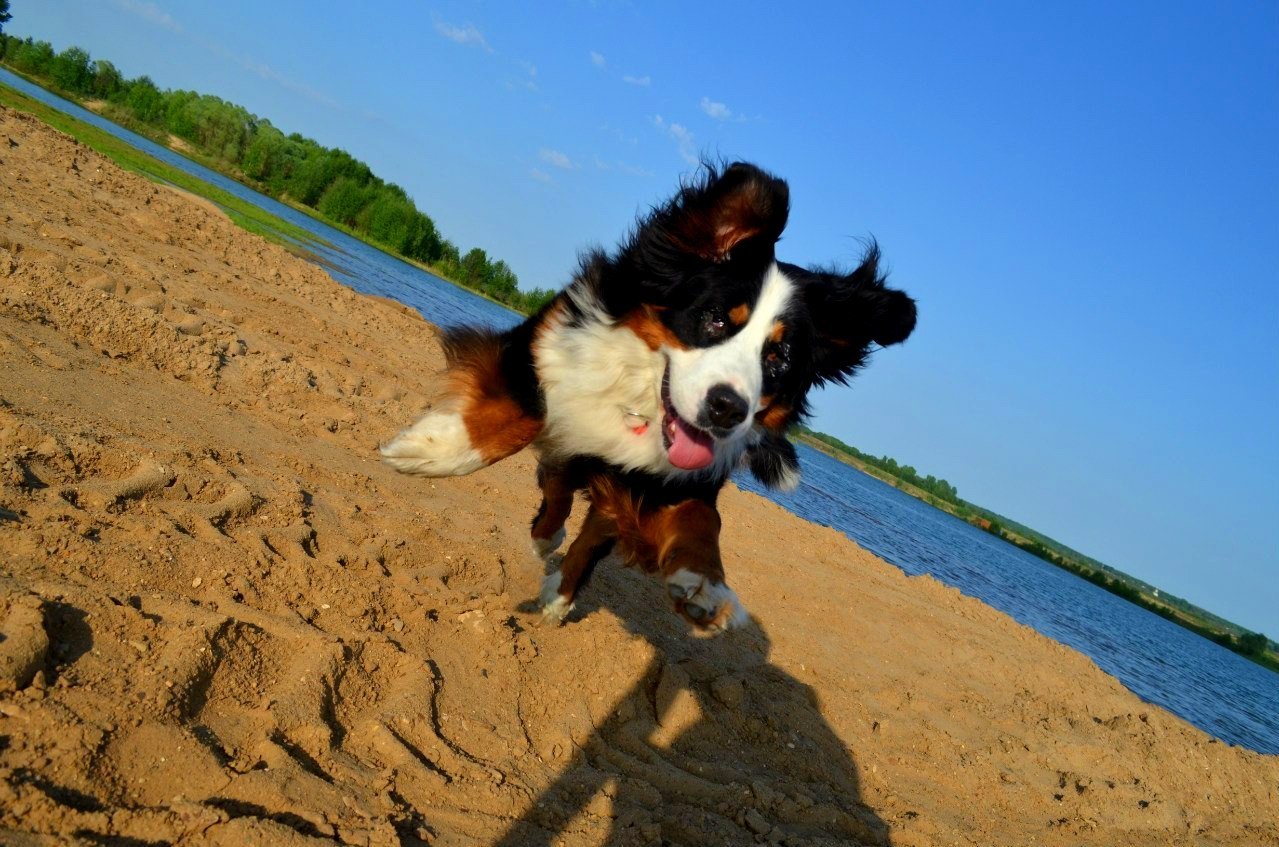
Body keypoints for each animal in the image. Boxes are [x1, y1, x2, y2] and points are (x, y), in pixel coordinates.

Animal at [381, 163, 920, 629]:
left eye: (779, 357)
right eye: (716, 318)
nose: (727, 408)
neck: (641, 402)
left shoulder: (676, 480)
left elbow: (703, 521)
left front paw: (705, 584)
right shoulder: (546, 345)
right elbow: (528, 411)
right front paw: (436, 450)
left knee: (589, 523)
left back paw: (559, 591)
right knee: (558, 484)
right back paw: (544, 539)